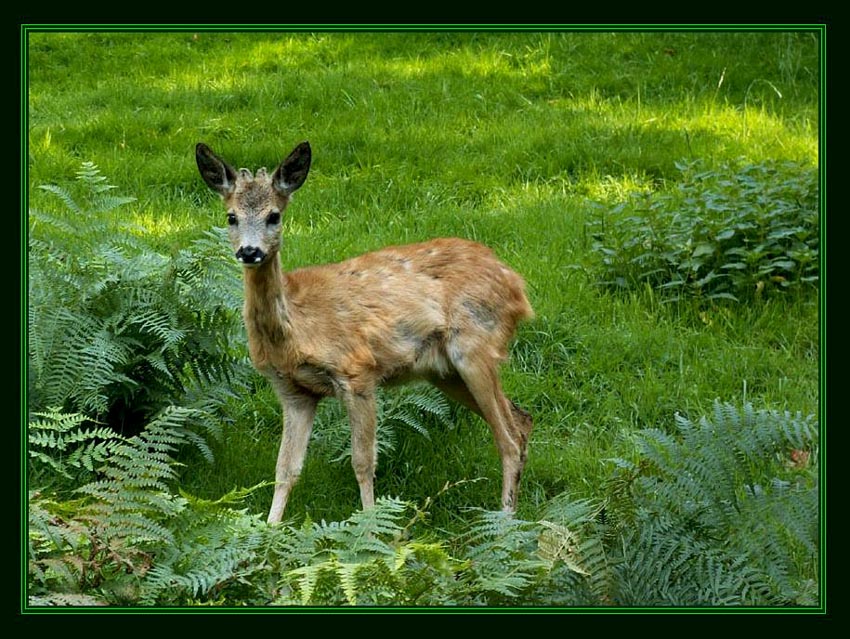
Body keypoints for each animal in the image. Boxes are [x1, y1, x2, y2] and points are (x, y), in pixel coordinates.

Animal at [195, 141, 532, 524]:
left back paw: (505, 521)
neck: (295, 330)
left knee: (508, 437)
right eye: (231, 217)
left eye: (274, 216)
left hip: (475, 346)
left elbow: (363, 462)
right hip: (444, 370)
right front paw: (269, 528)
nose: (249, 251)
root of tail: (516, 284)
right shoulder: (293, 391)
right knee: (521, 419)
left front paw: (369, 527)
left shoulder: (358, 372)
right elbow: (286, 469)